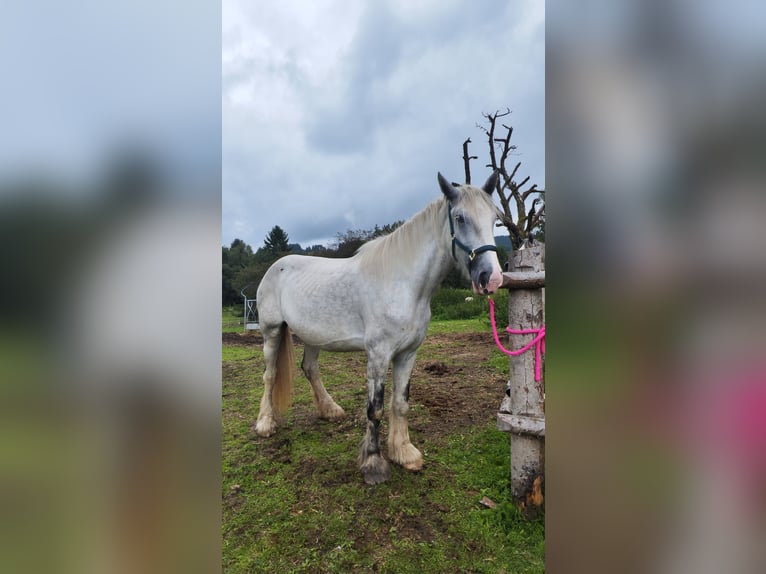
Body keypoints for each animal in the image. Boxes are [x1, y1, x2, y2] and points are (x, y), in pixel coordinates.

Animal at [254, 171, 504, 484]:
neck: (404, 284)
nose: (491, 278)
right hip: (272, 332)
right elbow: (375, 409)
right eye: (460, 218)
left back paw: (330, 410)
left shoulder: (408, 354)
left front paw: (403, 452)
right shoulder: (378, 354)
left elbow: (400, 403)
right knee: (270, 375)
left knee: (309, 368)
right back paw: (265, 423)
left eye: (495, 218)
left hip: (312, 337)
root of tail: (276, 266)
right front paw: (374, 464)